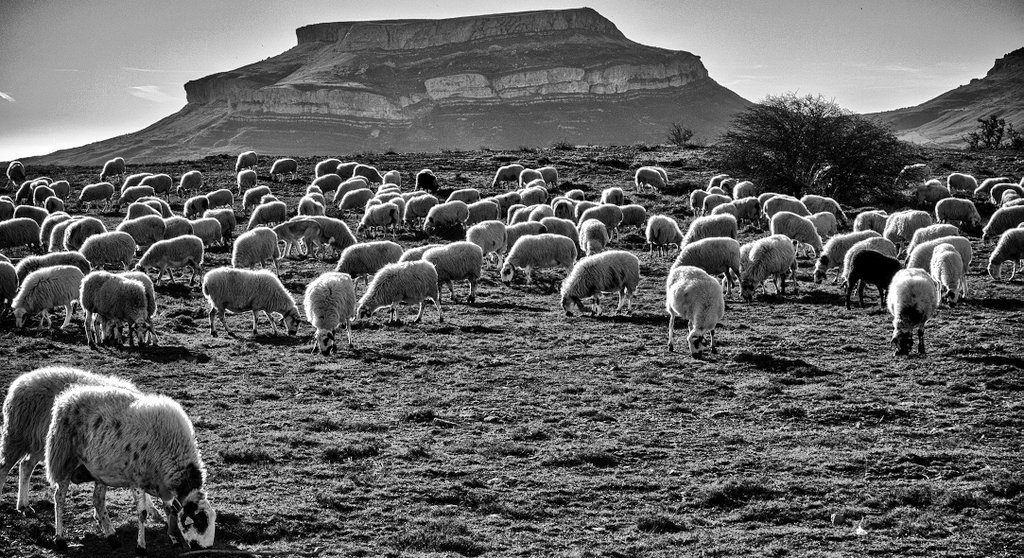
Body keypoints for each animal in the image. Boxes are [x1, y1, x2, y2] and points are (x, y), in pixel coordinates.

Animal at [0, 368, 139, 513]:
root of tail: (21, 381)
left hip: (42, 443)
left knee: (26, 465)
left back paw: (23, 505)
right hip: (16, 436)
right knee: (4, 468)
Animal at [45, 385, 216, 553]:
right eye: (200, 521)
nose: (207, 547)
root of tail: (68, 395)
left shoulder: (161, 484)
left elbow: (169, 510)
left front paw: (174, 539)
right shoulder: (137, 480)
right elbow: (142, 514)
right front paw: (141, 546)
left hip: (99, 470)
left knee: (98, 500)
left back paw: (112, 537)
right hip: (64, 460)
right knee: (59, 498)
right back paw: (60, 538)